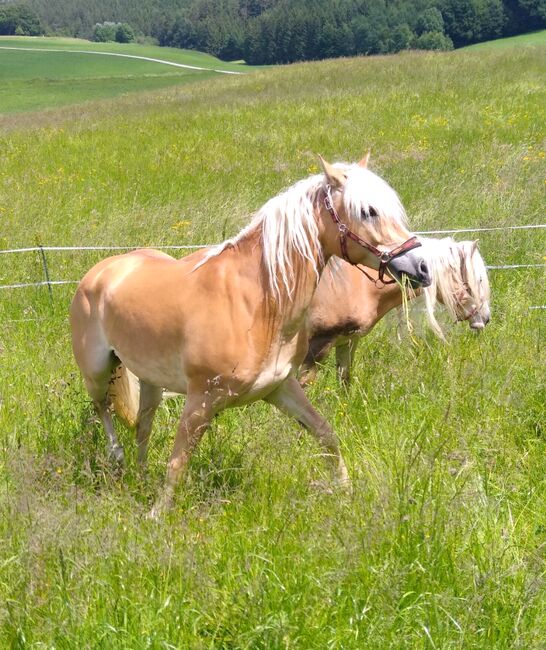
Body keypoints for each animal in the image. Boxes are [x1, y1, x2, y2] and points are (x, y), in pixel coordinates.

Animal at [71, 154, 430, 512]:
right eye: (368, 211)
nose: (422, 267)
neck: (258, 303)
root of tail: (103, 270)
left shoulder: (281, 387)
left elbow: (327, 435)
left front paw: (345, 493)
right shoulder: (201, 400)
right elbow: (178, 463)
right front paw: (158, 514)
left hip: (150, 381)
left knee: (142, 427)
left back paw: (141, 477)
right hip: (97, 371)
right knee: (102, 408)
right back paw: (116, 457)